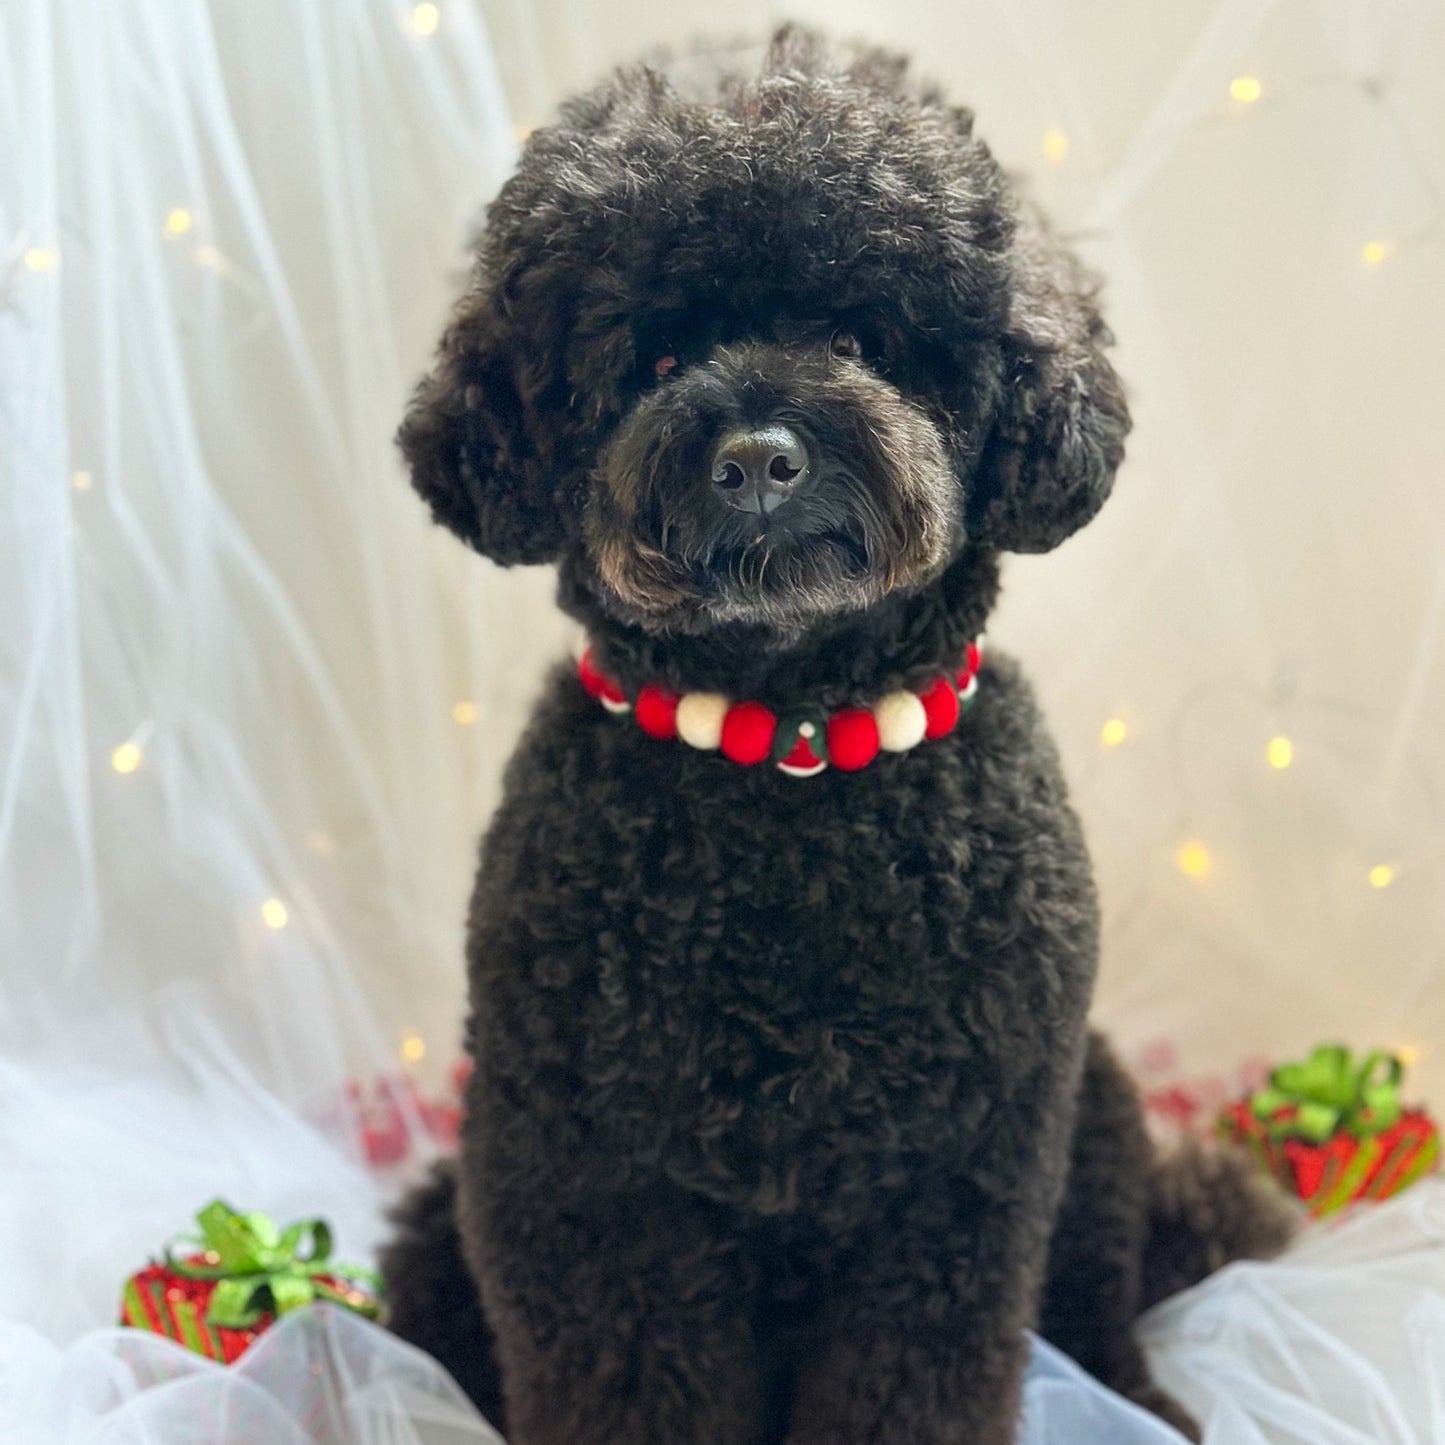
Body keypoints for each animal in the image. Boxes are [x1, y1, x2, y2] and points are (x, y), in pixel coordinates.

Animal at [381, 28, 1288, 1439]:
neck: (789, 759)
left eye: (860, 335)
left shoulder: (956, 1179)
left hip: (1087, 1107)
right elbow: (624, 1371)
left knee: (1100, 1292)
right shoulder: (585, 1179)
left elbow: (918, 1371)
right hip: (444, 1213)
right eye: (650, 360)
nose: (758, 456)